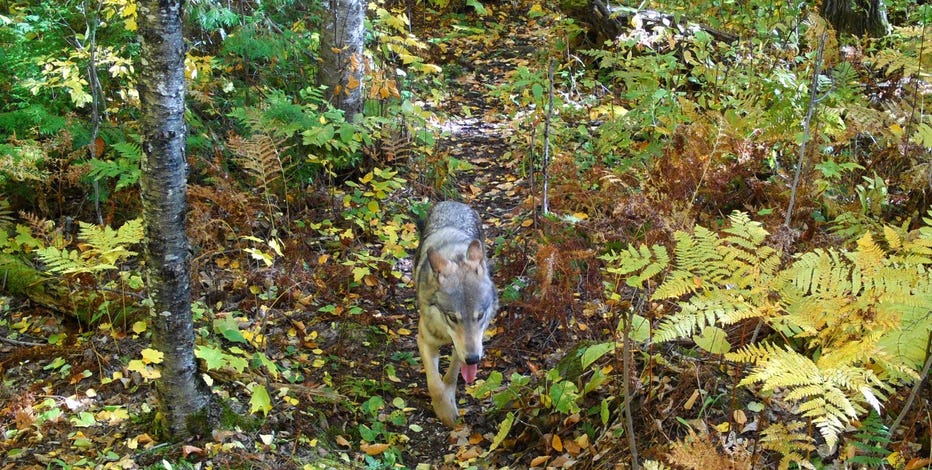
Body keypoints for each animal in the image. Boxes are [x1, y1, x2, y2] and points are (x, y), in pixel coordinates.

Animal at [415, 201, 498, 427]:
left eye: (480, 316)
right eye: (453, 318)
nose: (473, 359)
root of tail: (453, 202)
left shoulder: (465, 348)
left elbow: (451, 375)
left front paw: (449, 402)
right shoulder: (424, 340)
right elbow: (434, 384)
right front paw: (444, 411)